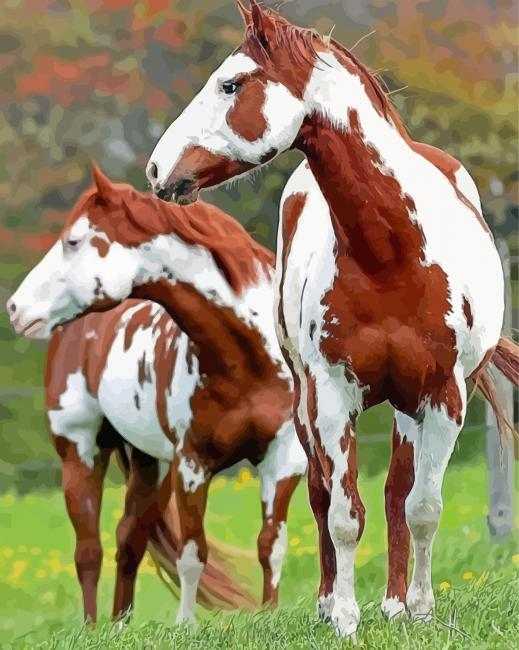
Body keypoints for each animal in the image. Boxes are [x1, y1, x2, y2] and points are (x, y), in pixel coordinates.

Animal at [8, 166, 308, 624]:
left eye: (73, 241)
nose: (14, 309)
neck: (247, 359)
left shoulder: (283, 459)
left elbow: (270, 546)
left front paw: (269, 615)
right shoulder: (192, 464)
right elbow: (192, 553)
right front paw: (186, 625)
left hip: (152, 466)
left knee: (128, 540)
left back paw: (120, 625)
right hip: (81, 452)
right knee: (88, 551)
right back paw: (93, 628)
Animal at [144, 1, 518, 637]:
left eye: (230, 84)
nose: (155, 170)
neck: (391, 257)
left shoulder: (444, 395)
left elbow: (421, 506)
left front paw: (420, 610)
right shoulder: (330, 395)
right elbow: (343, 512)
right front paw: (344, 616)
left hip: (407, 407)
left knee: (397, 493)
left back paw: (394, 602)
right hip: (305, 406)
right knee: (321, 497)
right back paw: (328, 603)